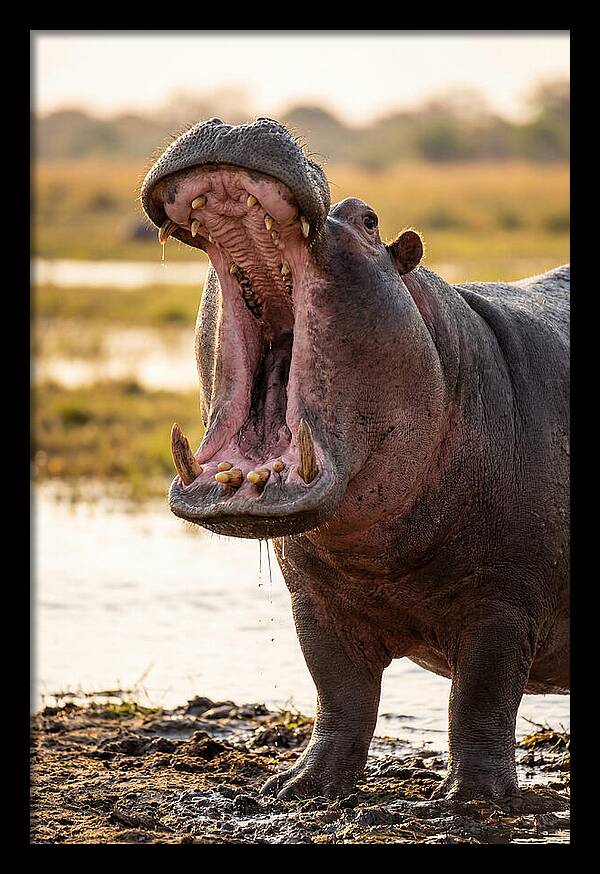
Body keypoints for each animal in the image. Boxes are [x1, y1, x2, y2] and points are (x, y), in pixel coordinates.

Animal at [140, 117, 569, 800]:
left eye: (368, 220)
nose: (237, 122)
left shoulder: (503, 605)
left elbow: (481, 699)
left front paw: (474, 799)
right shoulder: (314, 603)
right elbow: (339, 693)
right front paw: (300, 787)